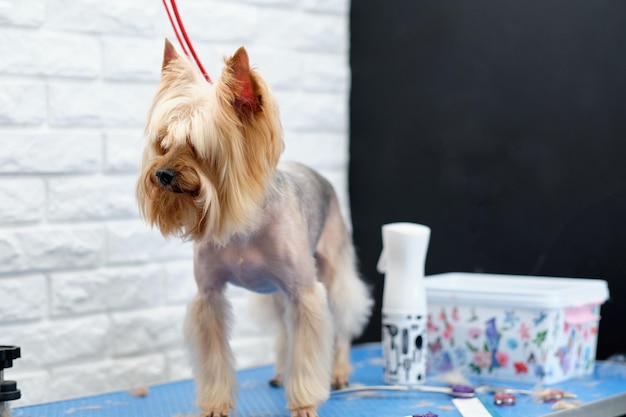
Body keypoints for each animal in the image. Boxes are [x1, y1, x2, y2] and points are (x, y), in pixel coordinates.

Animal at [136, 40, 370, 416]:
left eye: (201, 148)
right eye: (163, 143)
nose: (162, 174)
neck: (240, 228)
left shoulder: (305, 292)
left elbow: (308, 350)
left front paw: (304, 402)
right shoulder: (209, 296)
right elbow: (215, 357)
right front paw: (215, 404)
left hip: (333, 270)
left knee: (343, 319)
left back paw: (338, 371)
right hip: (274, 291)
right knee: (284, 330)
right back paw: (280, 371)